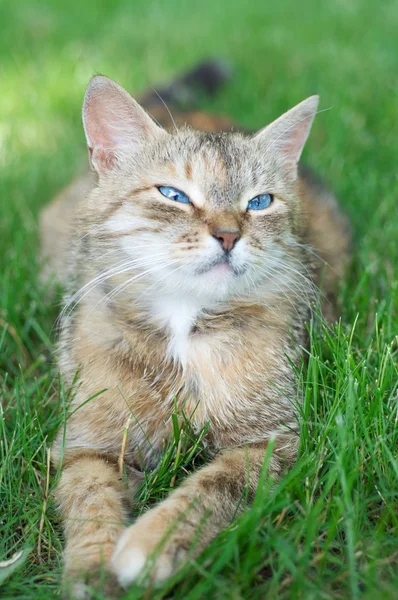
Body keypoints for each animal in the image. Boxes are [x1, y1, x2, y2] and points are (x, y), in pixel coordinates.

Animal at [40, 61, 350, 596]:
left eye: (260, 202)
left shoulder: (273, 443)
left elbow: (212, 488)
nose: (228, 235)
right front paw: (93, 566)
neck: (184, 319)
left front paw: (152, 543)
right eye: (173, 195)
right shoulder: (84, 445)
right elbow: (90, 497)